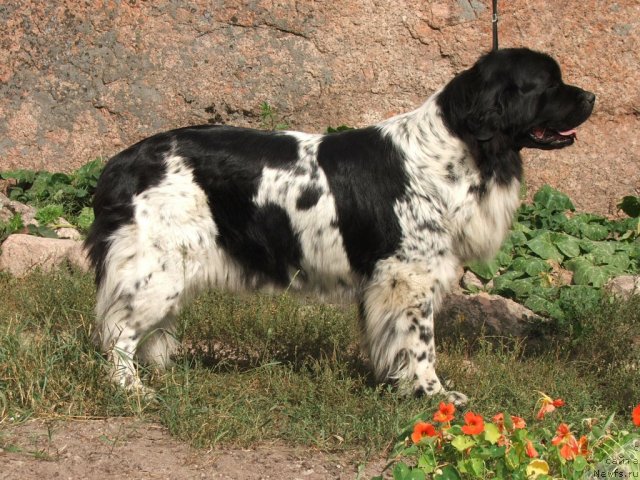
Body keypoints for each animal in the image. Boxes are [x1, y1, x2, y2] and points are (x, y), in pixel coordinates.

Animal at [85, 48, 596, 404]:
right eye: (548, 84)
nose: (592, 96)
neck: (459, 147)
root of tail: (124, 161)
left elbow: (391, 342)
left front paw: (397, 386)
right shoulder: (409, 277)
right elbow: (421, 344)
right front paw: (433, 397)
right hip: (156, 269)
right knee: (118, 333)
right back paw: (132, 390)